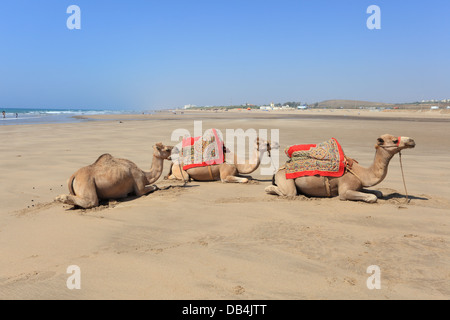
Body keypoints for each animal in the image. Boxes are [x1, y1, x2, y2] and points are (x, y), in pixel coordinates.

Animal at [266, 134, 416, 202]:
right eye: (394, 140)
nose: (412, 141)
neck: (361, 173)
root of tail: (279, 169)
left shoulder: (359, 185)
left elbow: (378, 193)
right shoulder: (345, 190)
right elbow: (372, 197)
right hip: (285, 179)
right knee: (289, 192)